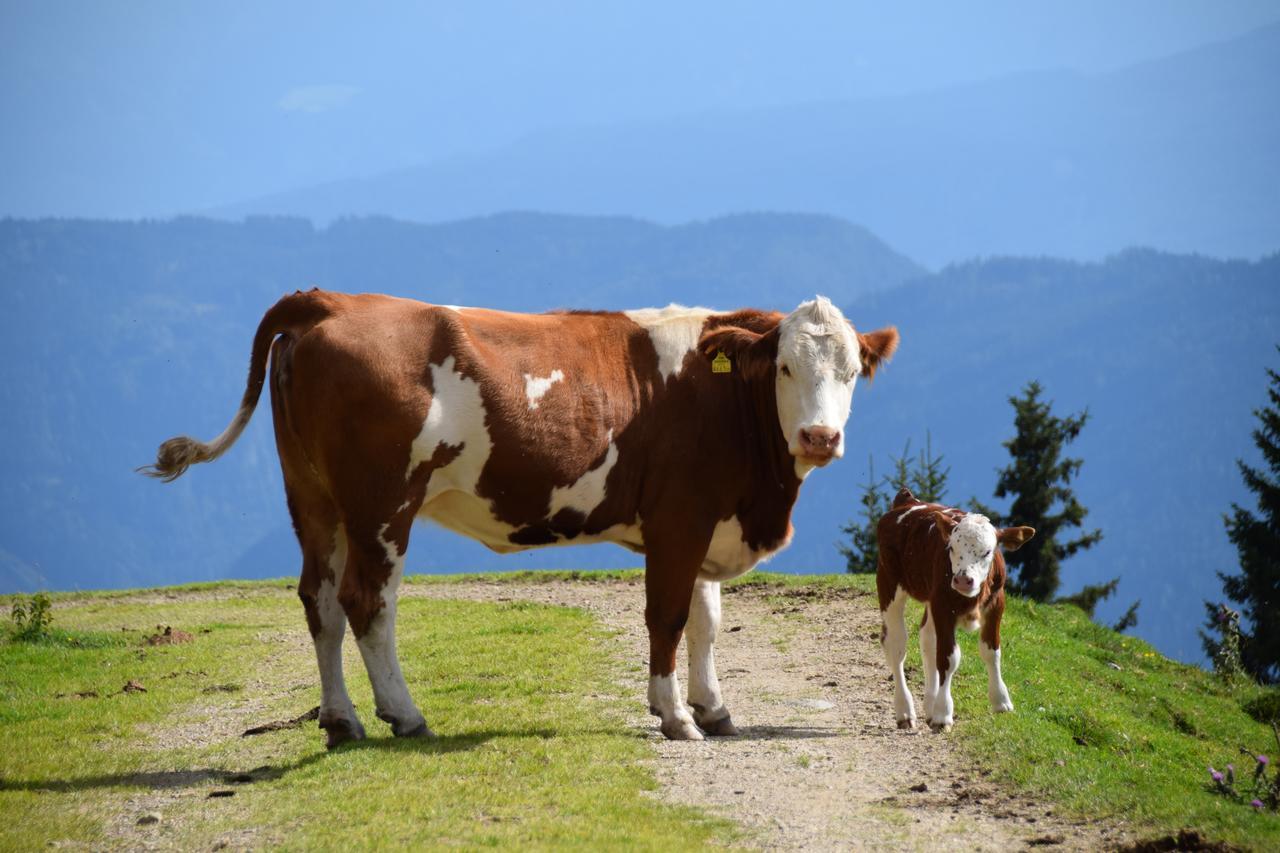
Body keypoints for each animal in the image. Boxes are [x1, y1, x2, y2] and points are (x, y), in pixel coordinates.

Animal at [142, 289, 901, 742]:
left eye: (851, 373)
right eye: (785, 368)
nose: (820, 437)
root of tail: (331, 301)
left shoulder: (708, 516)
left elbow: (706, 620)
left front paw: (714, 707)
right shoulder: (678, 517)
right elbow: (667, 617)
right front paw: (676, 715)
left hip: (312, 498)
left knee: (319, 601)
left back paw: (341, 719)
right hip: (381, 504)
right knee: (367, 601)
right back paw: (404, 714)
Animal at [875, 489, 1034, 727]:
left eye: (987, 552)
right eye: (951, 547)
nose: (962, 580)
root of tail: (908, 500)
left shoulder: (997, 603)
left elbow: (992, 651)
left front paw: (1000, 700)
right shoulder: (943, 606)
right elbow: (947, 658)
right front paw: (943, 713)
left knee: (927, 639)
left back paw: (929, 704)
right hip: (889, 583)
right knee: (896, 644)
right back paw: (905, 710)